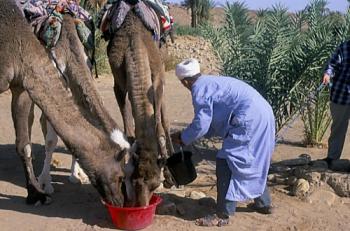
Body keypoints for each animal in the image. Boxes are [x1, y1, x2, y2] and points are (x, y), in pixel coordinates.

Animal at [0, 0, 130, 206]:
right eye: (121, 177)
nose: (121, 202)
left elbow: (27, 144)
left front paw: (73, 176)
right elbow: (51, 139)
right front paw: (45, 184)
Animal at [107, 8, 174, 206]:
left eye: (155, 184)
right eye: (134, 181)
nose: (142, 205)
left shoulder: (158, 78)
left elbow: (159, 125)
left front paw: (168, 175)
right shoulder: (119, 83)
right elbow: (128, 132)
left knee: (165, 120)